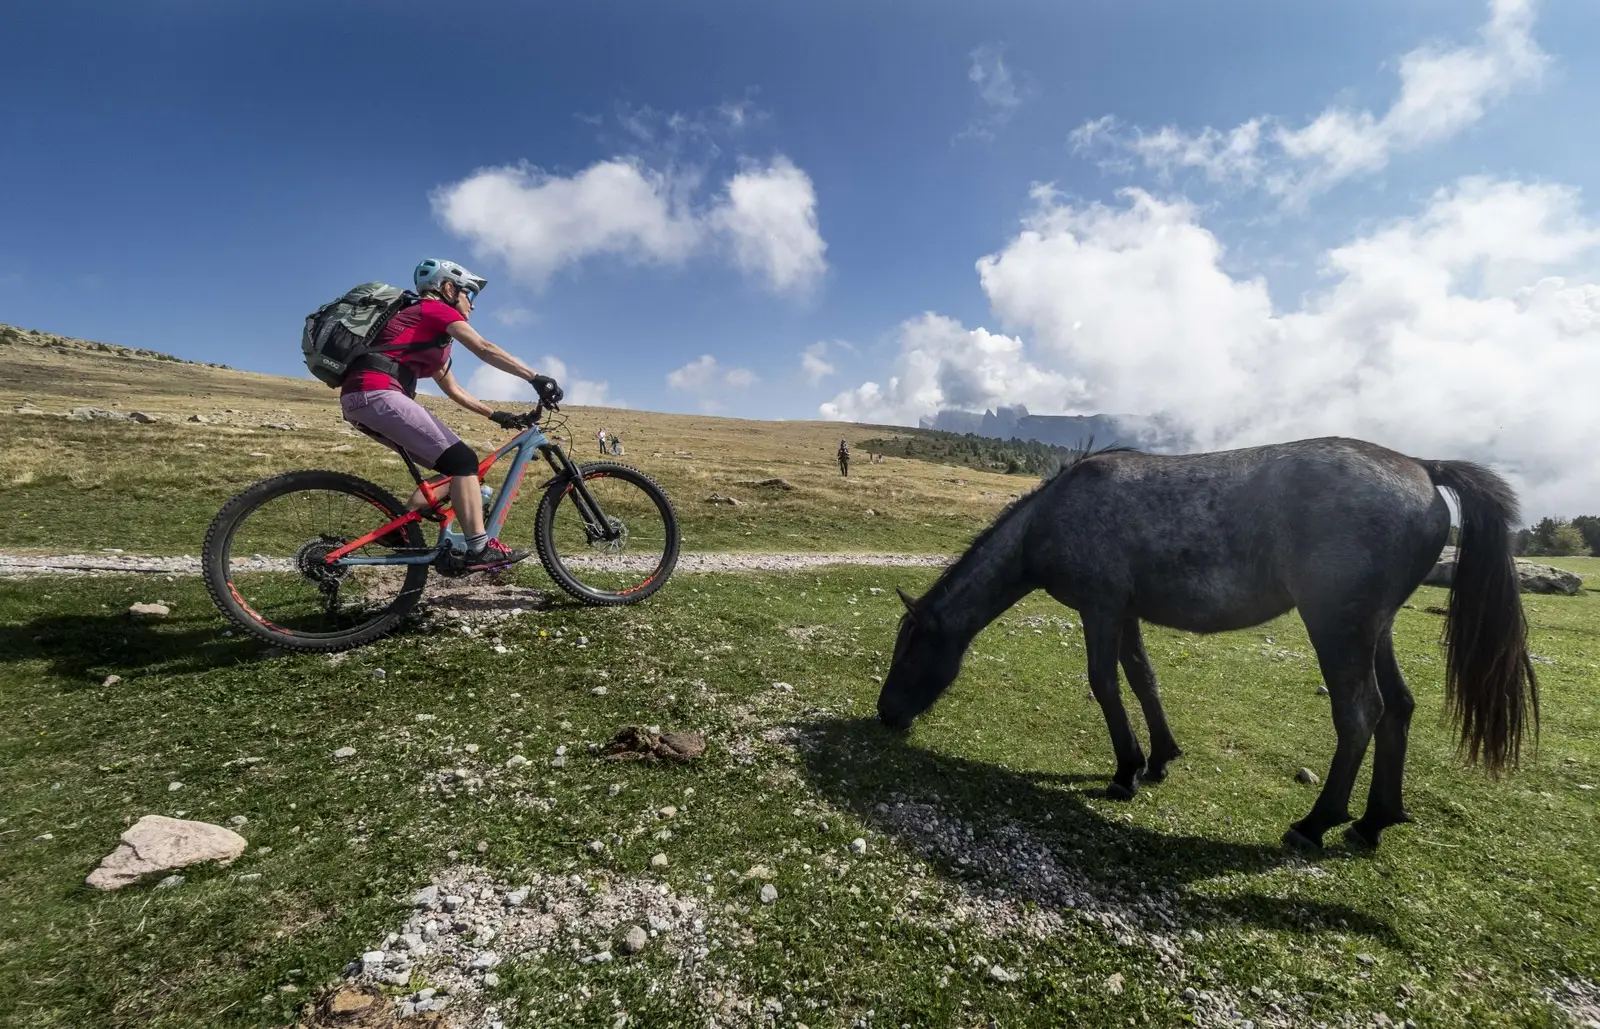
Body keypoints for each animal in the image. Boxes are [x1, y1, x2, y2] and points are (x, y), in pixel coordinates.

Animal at [876, 436, 1537, 851]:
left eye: (908, 652)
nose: (884, 714)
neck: (1053, 516)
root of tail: (1422, 467)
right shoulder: (1125, 612)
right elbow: (1142, 678)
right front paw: (1160, 758)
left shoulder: (1101, 607)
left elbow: (1104, 683)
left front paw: (1126, 770)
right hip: (1376, 629)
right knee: (1397, 708)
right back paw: (1373, 822)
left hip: (1338, 626)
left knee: (1360, 714)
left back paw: (1316, 823)